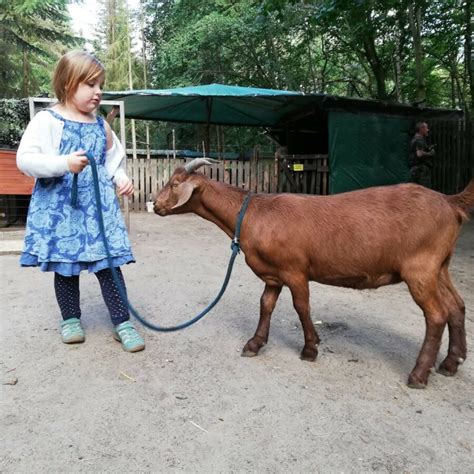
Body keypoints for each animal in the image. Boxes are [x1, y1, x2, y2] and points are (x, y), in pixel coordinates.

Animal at [156, 157, 474, 386]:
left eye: (175, 183)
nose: (156, 204)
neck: (254, 214)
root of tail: (450, 202)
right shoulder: (274, 274)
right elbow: (266, 305)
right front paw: (255, 344)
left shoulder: (295, 270)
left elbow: (301, 306)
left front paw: (310, 348)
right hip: (439, 266)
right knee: (456, 306)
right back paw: (451, 363)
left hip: (420, 268)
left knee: (436, 315)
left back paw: (419, 375)